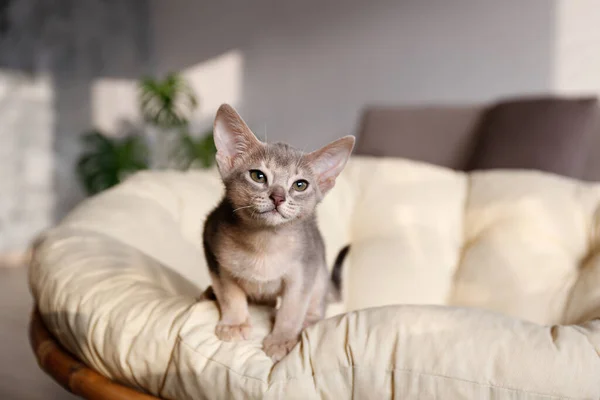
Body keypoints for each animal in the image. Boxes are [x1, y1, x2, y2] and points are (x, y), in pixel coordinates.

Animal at [203, 104, 352, 362]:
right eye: (258, 176)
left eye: (300, 185)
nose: (278, 197)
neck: (264, 243)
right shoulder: (213, 250)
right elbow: (230, 294)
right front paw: (234, 323)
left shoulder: (305, 270)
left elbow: (292, 309)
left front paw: (281, 339)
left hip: (320, 270)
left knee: (316, 304)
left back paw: (308, 320)